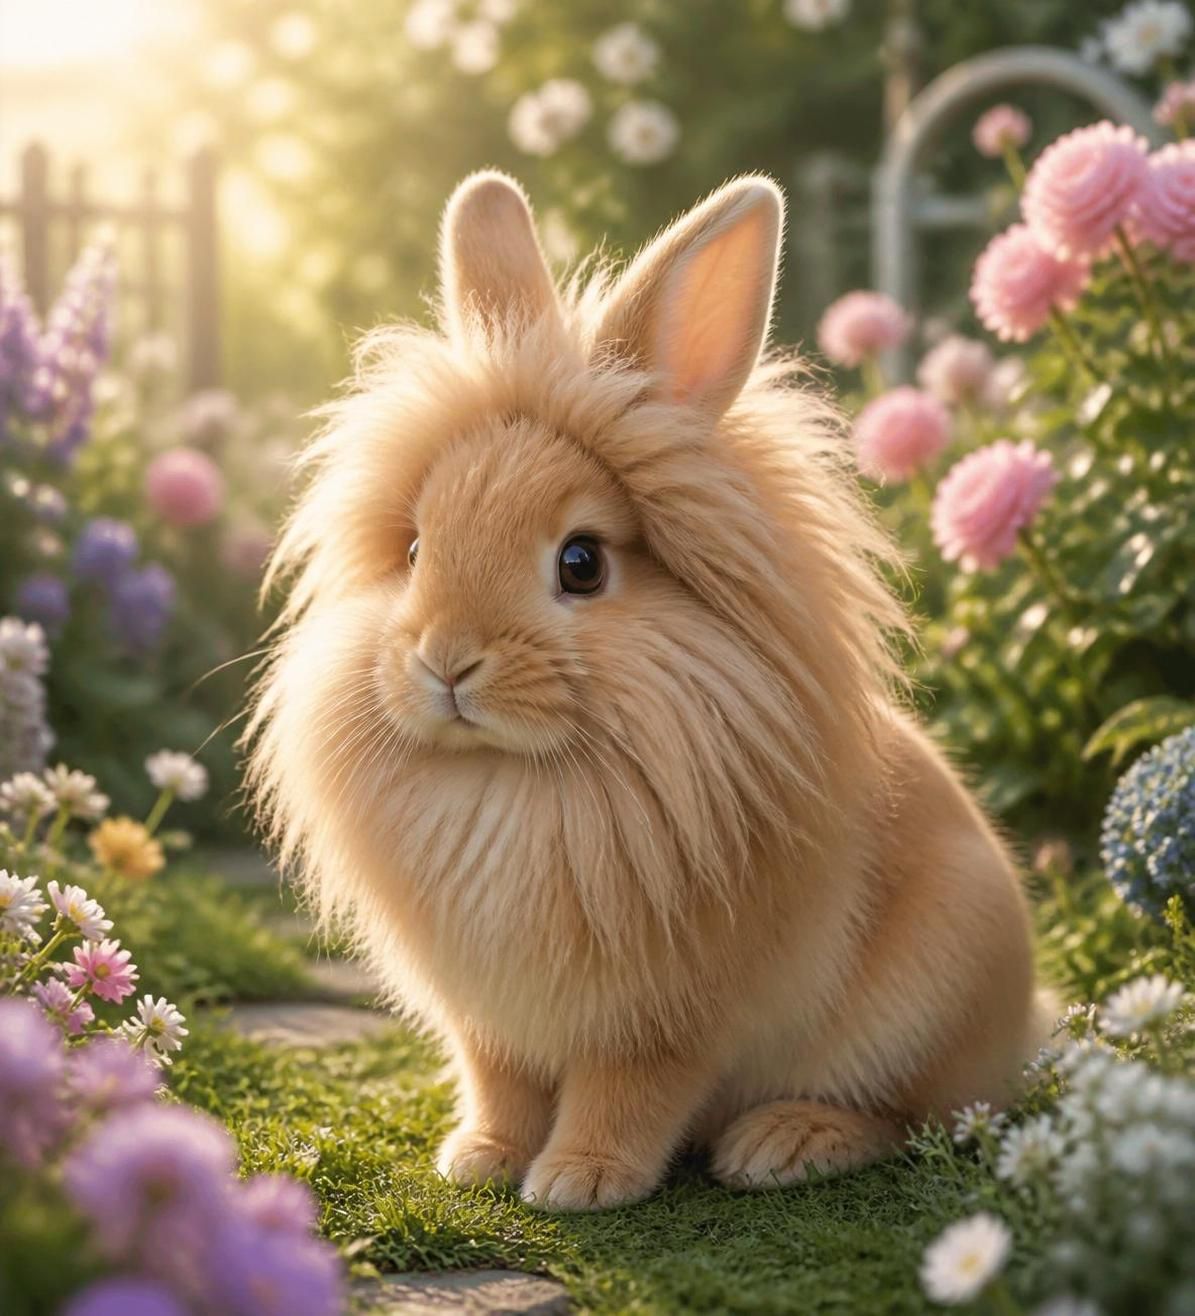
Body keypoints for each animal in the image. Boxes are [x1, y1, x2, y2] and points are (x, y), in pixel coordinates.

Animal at [247, 170, 1050, 1212]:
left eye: (581, 564)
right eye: (416, 550)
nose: (445, 662)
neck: (510, 782)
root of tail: (1025, 1027)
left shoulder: (663, 1018)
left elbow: (627, 1093)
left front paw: (578, 1182)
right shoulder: (489, 1018)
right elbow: (498, 1083)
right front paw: (479, 1159)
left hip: (922, 1010)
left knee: (920, 1120)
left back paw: (785, 1143)